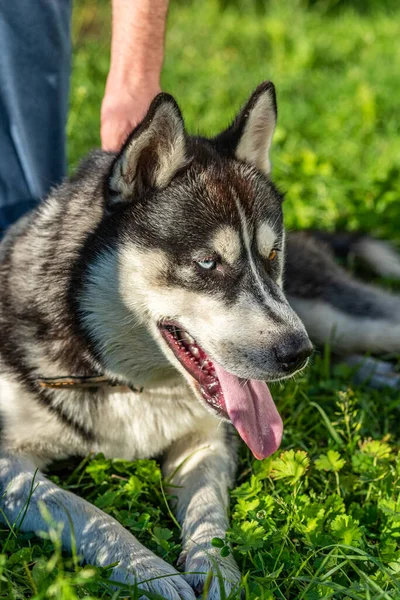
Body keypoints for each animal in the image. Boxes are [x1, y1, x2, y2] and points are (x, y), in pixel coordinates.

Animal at [0, 82, 400, 596]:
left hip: (338, 318)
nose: (296, 355)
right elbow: (87, 512)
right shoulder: (10, 468)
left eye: (272, 254)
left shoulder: (207, 440)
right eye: (208, 262)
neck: (125, 380)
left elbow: (210, 519)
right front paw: (151, 571)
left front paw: (215, 571)